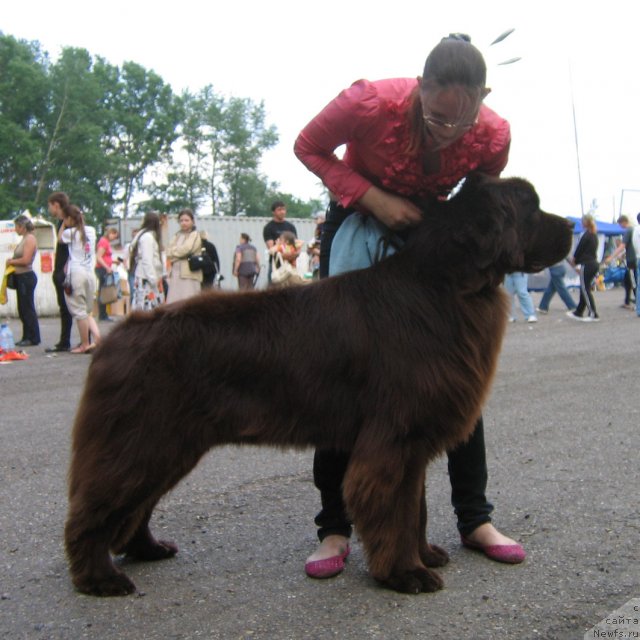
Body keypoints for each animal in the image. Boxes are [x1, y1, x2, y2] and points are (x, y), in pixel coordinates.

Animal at [65, 174, 576, 596]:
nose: (573, 230)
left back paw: (147, 550)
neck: (446, 287)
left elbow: (415, 507)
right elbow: (393, 508)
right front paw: (405, 574)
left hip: (165, 444)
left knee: (135, 505)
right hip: (142, 440)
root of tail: (116, 336)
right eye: (531, 207)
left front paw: (424, 555)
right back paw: (99, 578)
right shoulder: (393, 438)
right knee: (95, 507)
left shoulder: (411, 443)